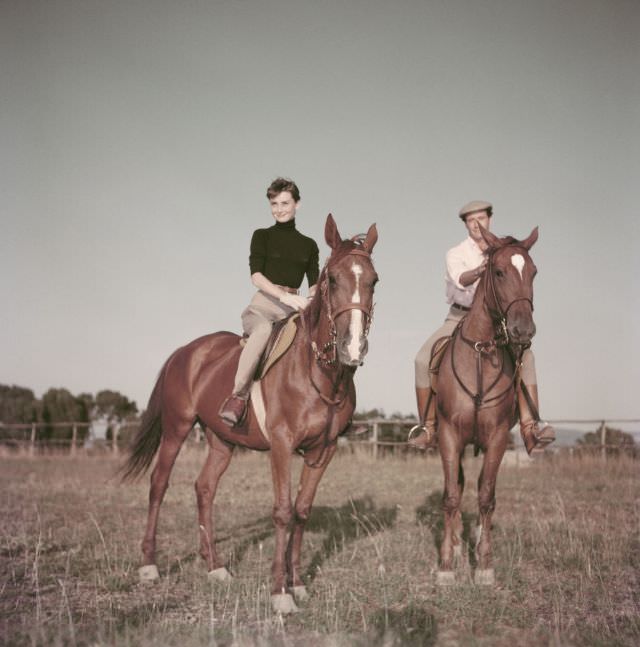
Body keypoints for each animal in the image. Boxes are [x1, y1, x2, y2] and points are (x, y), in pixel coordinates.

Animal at [122, 215, 378, 616]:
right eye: (333, 279)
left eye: (373, 280)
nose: (352, 348)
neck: (318, 372)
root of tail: (186, 351)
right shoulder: (282, 445)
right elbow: (283, 511)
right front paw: (280, 593)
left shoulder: (324, 450)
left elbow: (303, 511)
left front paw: (298, 583)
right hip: (177, 429)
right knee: (159, 484)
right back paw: (149, 565)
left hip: (221, 440)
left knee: (204, 489)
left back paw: (215, 567)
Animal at [436, 227, 540, 588]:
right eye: (498, 272)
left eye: (533, 272)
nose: (523, 330)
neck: (481, 352)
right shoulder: (449, 435)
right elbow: (452, 496)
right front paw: (446, 565)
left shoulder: (496, 438)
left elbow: (486, 497)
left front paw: (483, 565)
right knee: (457, 486)